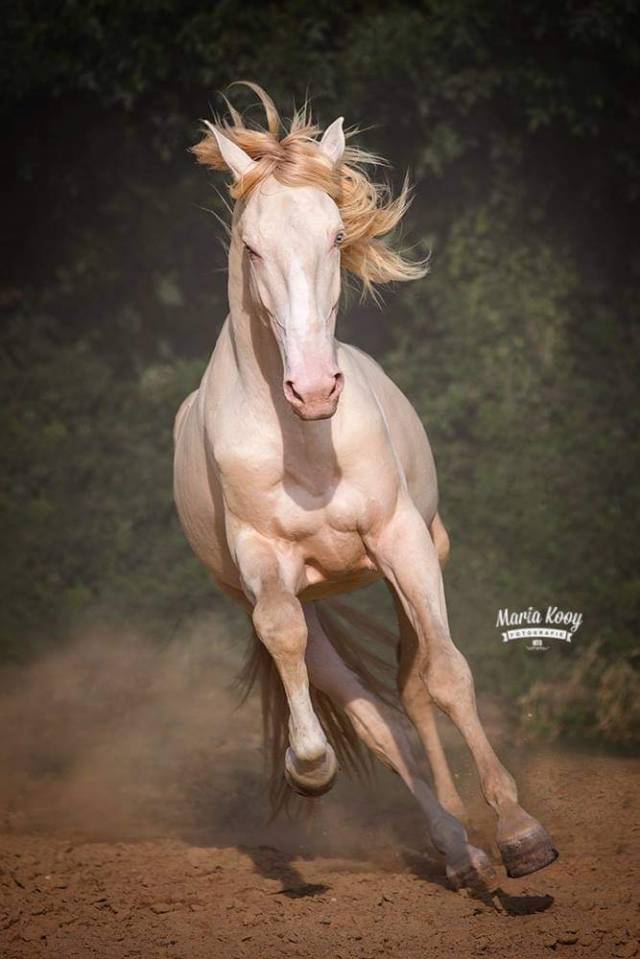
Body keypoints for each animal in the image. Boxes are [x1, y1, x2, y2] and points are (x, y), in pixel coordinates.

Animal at [173, 83, 558, 894]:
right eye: (252, 247)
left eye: (334, 236)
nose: (315, 388)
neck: (306, 445)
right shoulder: (263, 567)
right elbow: (296, 647)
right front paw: (309, 765)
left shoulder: (400, 539)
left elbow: (448, 675)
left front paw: (522, 832)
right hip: (304, 598)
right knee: (378, 717)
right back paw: (458, 850)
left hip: (411, 558)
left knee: (415, 684)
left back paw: (478, 845)